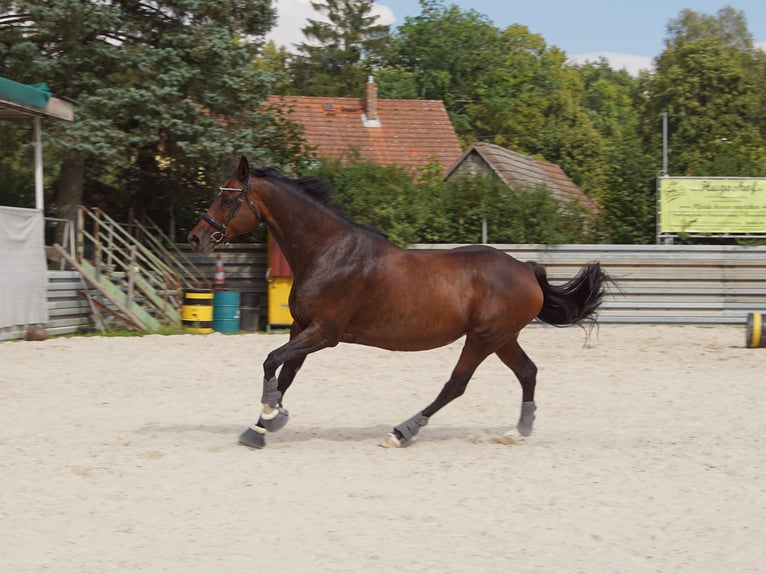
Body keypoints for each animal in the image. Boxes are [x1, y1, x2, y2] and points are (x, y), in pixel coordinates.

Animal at [188, 156, 612, 450]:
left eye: (226, 198)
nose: (196, 238)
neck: (329, 252)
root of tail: (526, 269)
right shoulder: (301, 327)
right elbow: (285, 373)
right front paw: (261, 427)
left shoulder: (325, 333)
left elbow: (271, 362)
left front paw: (269, 414)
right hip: (503, 338)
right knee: (528, 372)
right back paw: (519, 431)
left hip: (483, 338)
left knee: (456, 385)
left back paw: (401, 432)